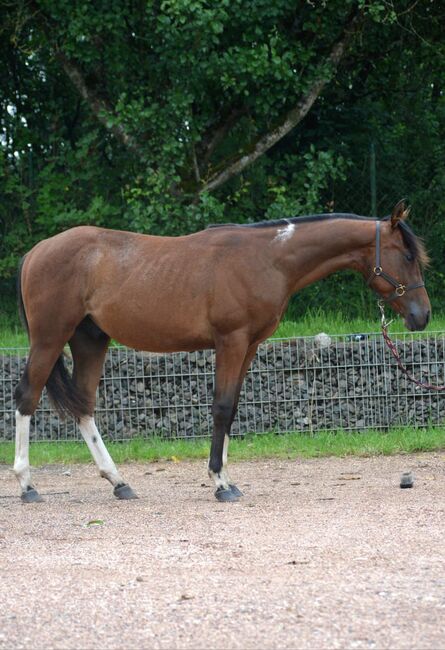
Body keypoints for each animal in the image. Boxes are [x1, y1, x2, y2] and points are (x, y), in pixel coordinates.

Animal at [13, 197, 428, 502]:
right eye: (407, 255)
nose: (422, 315)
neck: (267, 258)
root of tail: (36, 252)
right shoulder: (231, 341)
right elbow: (222, 407)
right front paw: (219, 483)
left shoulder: (249, 346)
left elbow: (232, 409)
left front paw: (227, 478)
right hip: (50, 338)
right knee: (27, 398)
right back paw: (28, 486)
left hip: (90, 340)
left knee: (83, 407)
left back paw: (119, 482)